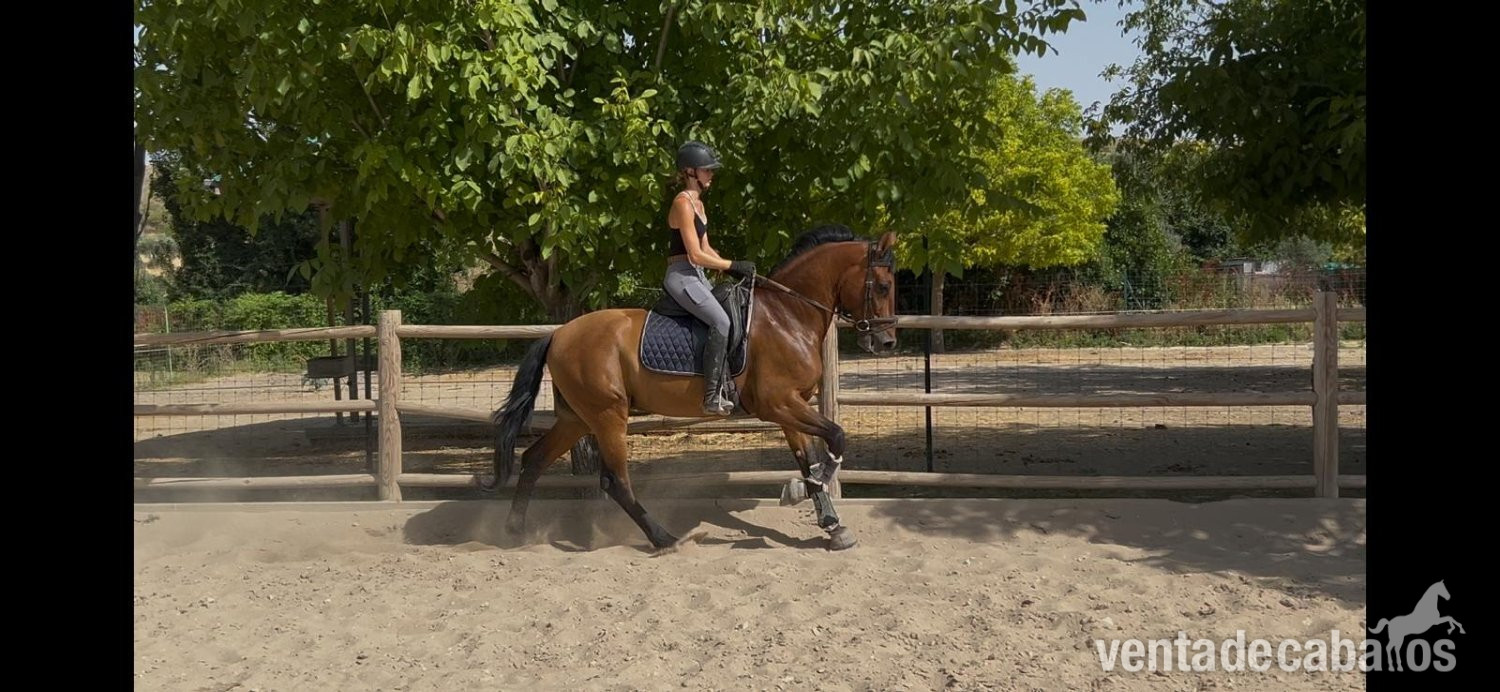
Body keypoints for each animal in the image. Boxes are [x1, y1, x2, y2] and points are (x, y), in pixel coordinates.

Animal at [481, 225, 899, 552]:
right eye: (882, 286)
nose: (887, 343)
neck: (787, 315)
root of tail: (558, 334)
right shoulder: (778, 403)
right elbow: (836, 437)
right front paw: (802, 493)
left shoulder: (791, 407)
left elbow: (809, 458)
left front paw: (832, 524)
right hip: (607, 416)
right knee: (614, 481)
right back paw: (664, 538)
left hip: (577, 418)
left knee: (534, 459)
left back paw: (515, 531)